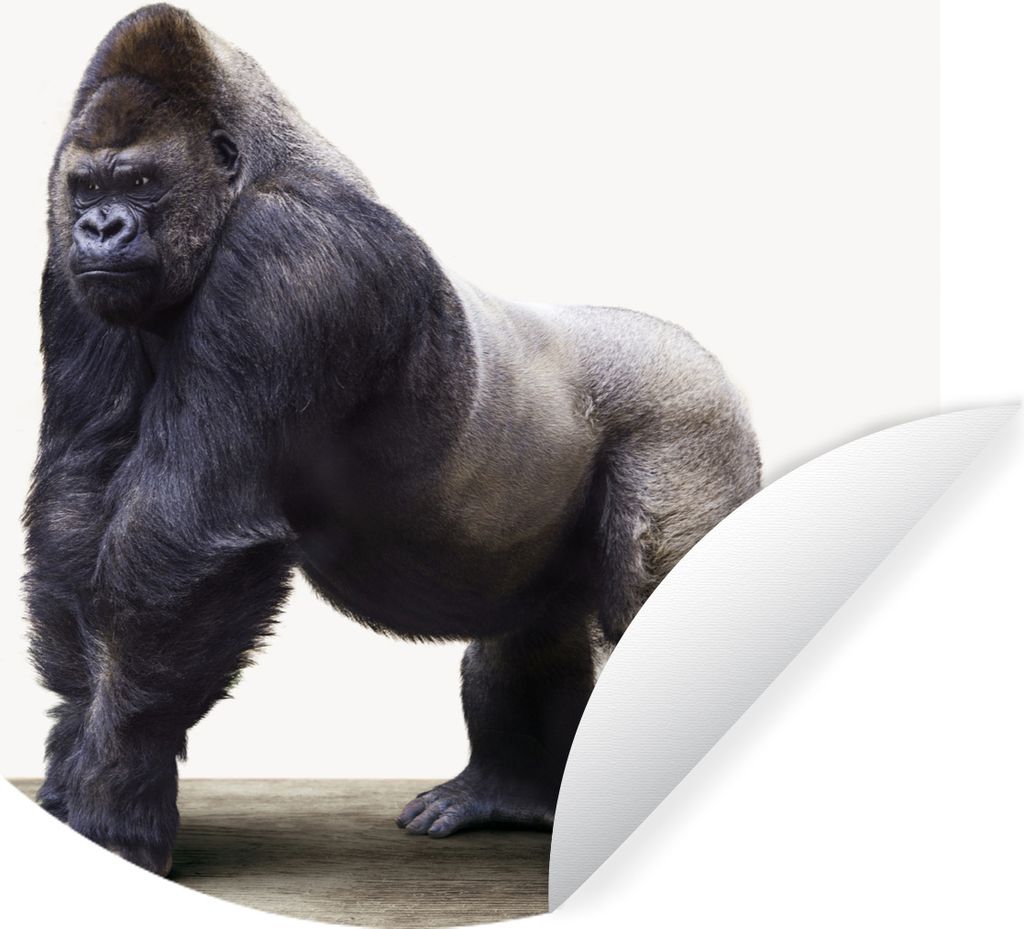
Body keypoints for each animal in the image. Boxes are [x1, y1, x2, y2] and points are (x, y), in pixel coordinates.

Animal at [23, 5, 761, 875]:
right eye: (88, 185)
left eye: (139, 182)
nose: (99, 227)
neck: (247, 173)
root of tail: (703, 357)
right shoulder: (67, 272)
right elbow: (78, 505)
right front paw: (77, 758)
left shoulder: (292, 258)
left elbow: (180, 540)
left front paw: (119, 791)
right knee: (529, 627)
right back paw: (511, 791)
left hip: (691, 417)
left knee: (656, 607)